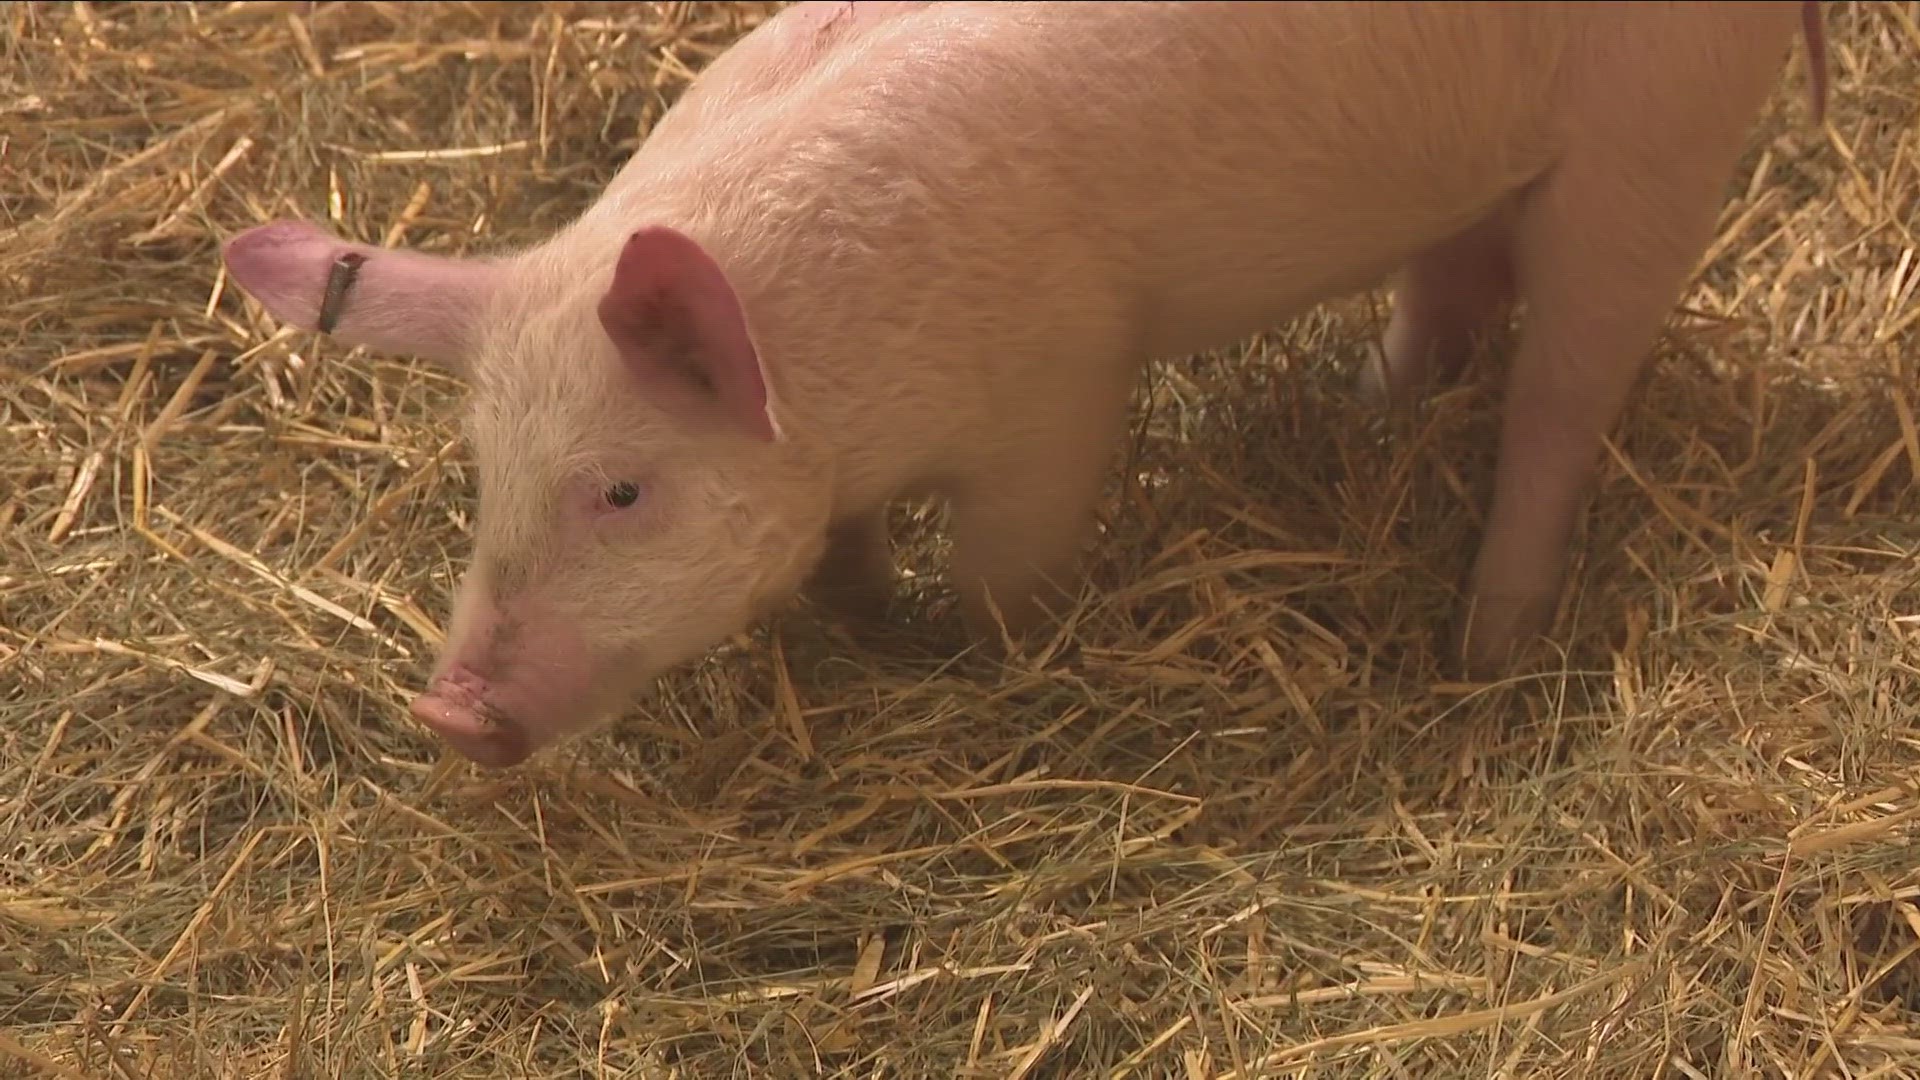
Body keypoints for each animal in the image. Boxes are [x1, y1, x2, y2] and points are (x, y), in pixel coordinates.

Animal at [217, 0, 1820, 760]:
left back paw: (1485, 647)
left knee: (1566, 394)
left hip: (1658, 132)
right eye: (483, 479)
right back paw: (1371, 407)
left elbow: (1011, 572)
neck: (834, 367)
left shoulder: (1061, 385)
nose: (446, 713)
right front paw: (870, 615)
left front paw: (973, 655)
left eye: (620, 490)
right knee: (1453, 283)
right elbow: (841, 555)